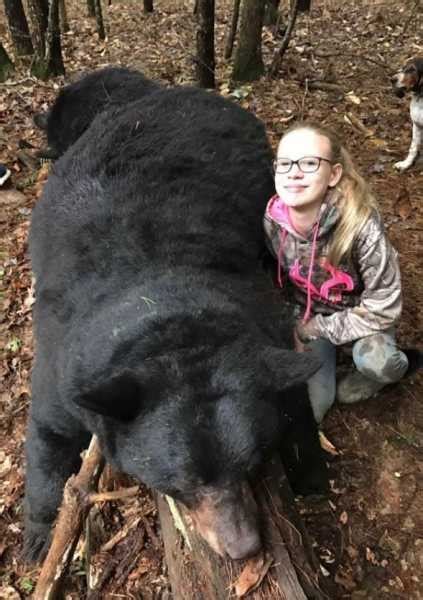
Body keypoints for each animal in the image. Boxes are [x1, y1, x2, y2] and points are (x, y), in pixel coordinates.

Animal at [24, 75, 326, 564]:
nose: (242, 547)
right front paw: (38, 537)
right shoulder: (65, 357)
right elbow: (48, 432)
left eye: (253, 462)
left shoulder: (259, 319)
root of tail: (186, 92)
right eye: (181, 483)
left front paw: (310, 470)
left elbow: (291, 389)